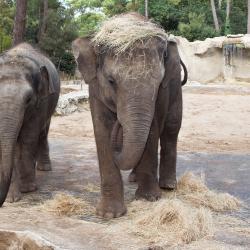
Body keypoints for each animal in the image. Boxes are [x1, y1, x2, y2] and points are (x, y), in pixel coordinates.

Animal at [0, 42, 60, 205]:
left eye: (28, 99)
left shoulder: (39, 103)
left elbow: (28, 138)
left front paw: (27, 189)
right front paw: (12, 199)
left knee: (42, 132)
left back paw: (44, 168)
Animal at [73, 13, 188, 219]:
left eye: (158, 82)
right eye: (111, 81)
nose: (119, 121)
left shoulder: (161, 94)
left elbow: (152, 131)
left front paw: (148, 198)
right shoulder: (94, 88)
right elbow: (102, 130)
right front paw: (109, 215)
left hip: (176, 86)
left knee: (171, 129)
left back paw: (168, 185)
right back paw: (134, 178)